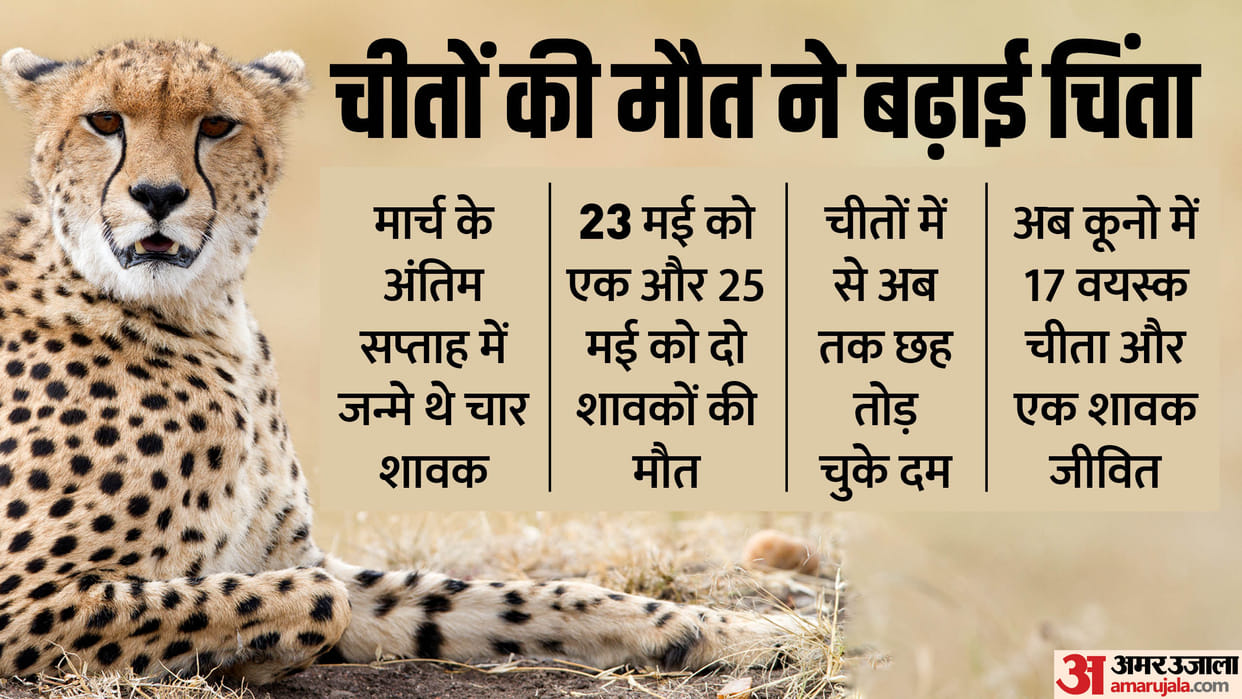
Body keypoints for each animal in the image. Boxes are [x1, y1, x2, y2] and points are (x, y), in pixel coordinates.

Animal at [0, 39, 785, 684]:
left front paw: (747, 629)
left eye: (217, 126)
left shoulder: (295, 557)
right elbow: (315, 600)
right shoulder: (24, 598)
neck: (199, 314)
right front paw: (243, 660)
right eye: (104, 121)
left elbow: (509, 597)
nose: (158, 195)